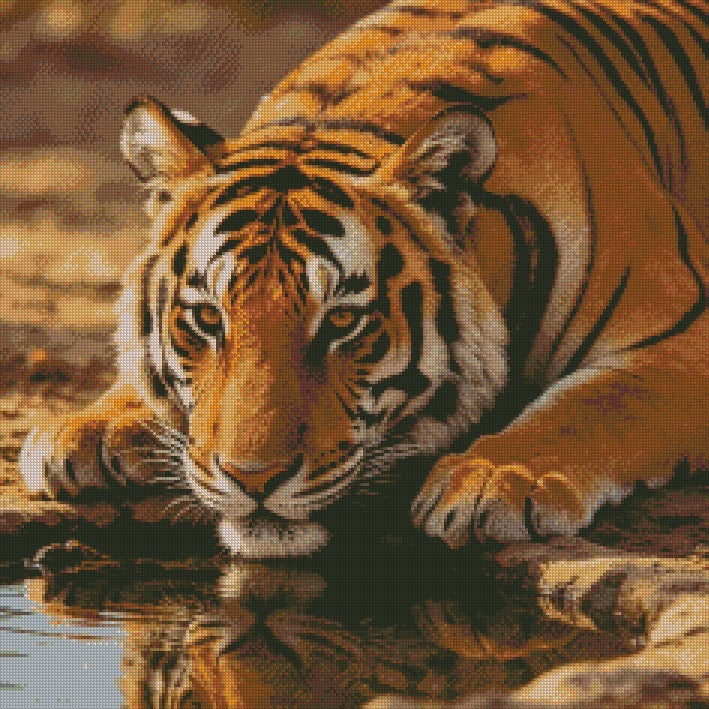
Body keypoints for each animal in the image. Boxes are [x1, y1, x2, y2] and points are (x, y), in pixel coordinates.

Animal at [19, 0, 707, 558]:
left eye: (343, 322)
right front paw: (86, 427)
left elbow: (597, 402)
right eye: (209, 318)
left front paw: (495, 481)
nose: (252, 479)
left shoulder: (683, 338)